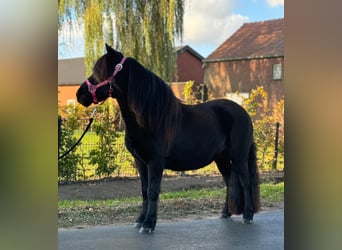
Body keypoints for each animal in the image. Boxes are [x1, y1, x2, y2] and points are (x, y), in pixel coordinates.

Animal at [77, 44, 260, 233]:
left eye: (100, 73)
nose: (79, 94)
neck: (151, 118)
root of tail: (244, 113)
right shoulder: (140, 162)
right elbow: (144, 190)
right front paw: (140, 221)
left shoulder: (155, 162)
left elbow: (153, 191)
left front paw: (149, 224)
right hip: (221, 158)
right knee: (230, 181)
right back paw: (225, 212)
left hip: (239, 156)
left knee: (245, 182)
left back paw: (247, 215)